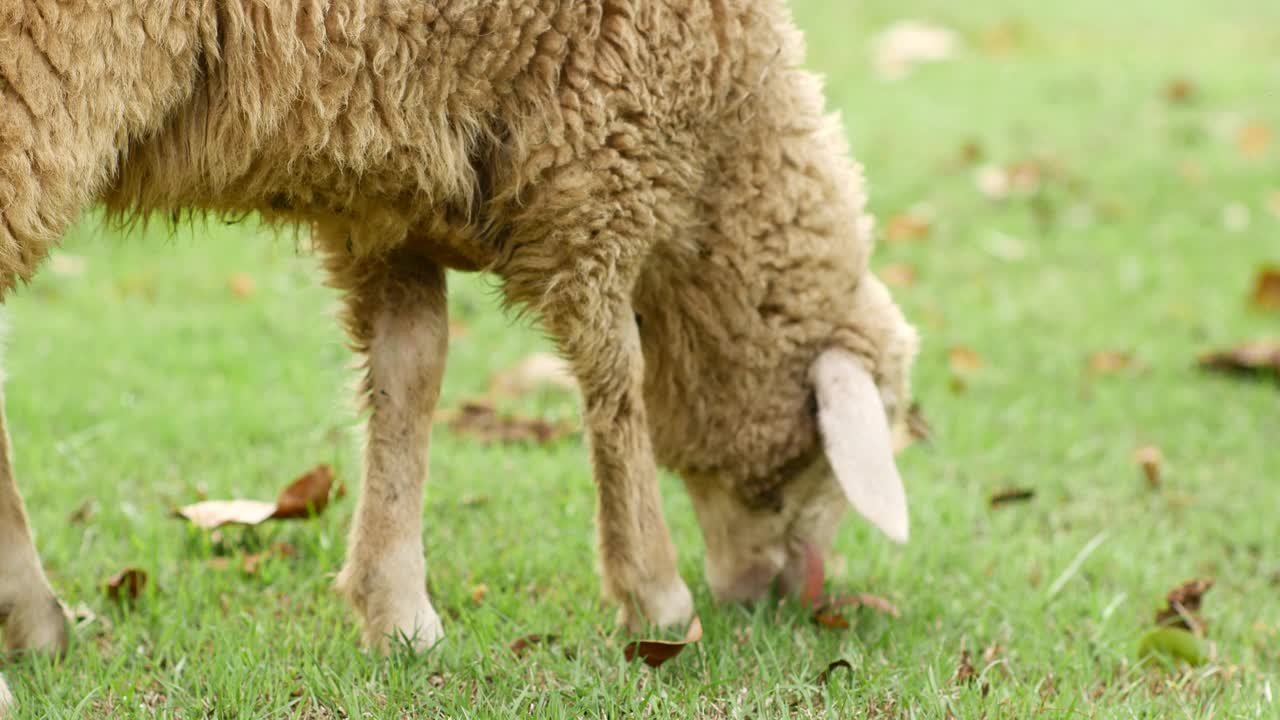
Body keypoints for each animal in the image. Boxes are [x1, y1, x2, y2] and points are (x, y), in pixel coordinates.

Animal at [0, 0, 921, 671]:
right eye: (817, 462)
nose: (783, 598)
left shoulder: (385, 185)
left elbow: (412, 373)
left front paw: (399, 611)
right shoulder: (596, 152)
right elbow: (618, 382)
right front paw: (657, 596)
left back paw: (35, 624)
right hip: (35, 75)